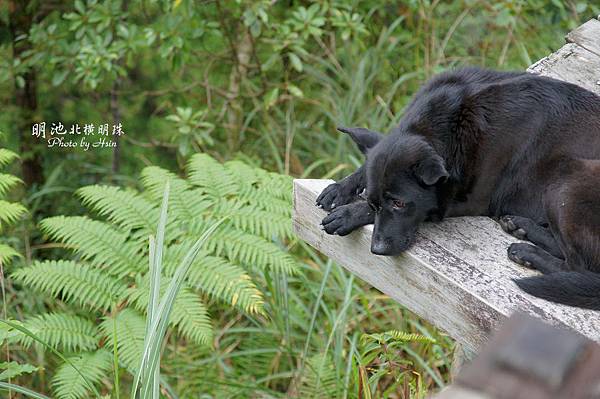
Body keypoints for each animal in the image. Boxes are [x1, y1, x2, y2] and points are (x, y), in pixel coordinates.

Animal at [316, 69, 596, 310]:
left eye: (399, 203)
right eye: (374, 204)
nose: (377, 250)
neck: (453, 120)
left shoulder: (469, 200)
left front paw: (347, 214)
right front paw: (341, 188)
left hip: (566, 184)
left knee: (578, 266)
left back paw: (528, 253)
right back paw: (522, 227)